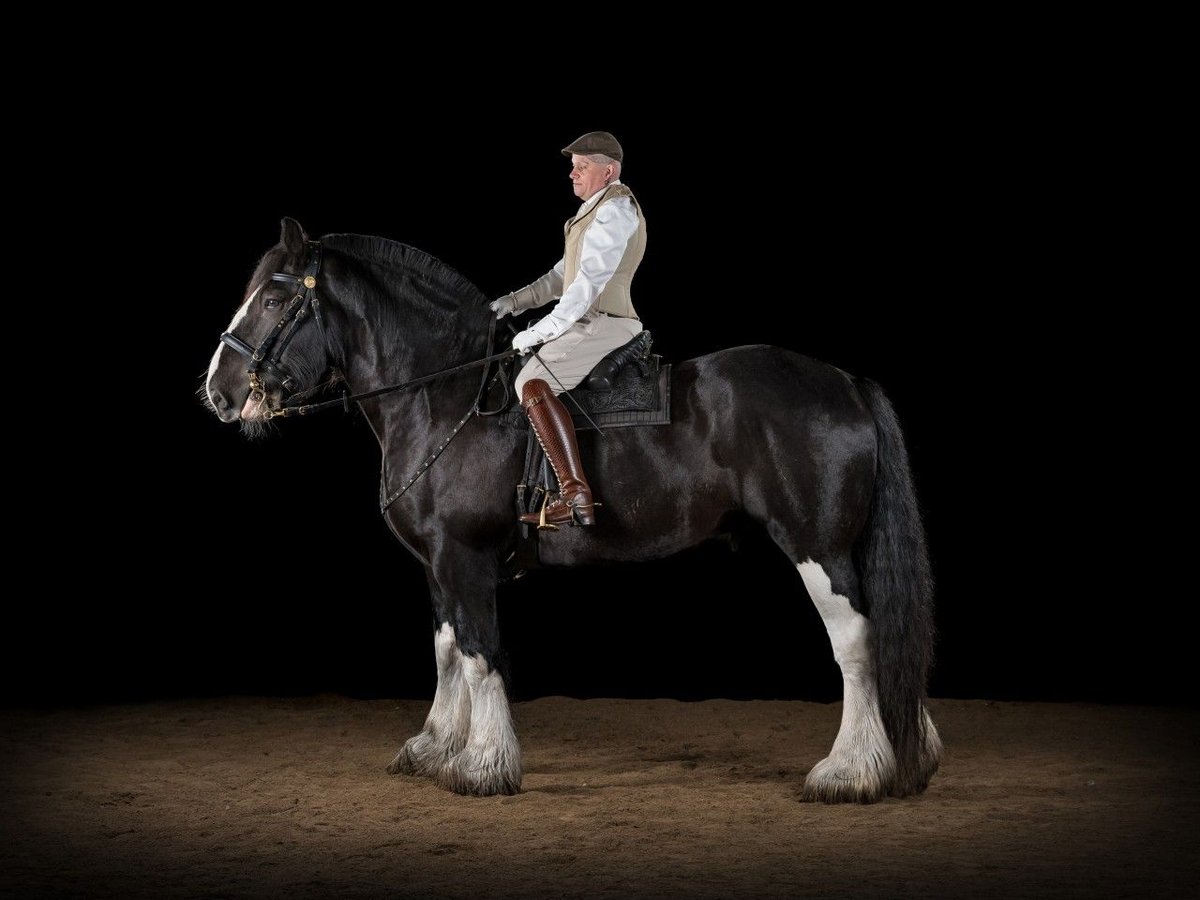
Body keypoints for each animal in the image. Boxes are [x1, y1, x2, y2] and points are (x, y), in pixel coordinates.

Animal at [201, 218, 940, 801]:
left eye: (275, 298)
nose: (219, 390)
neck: (445, 394)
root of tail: (845, 382)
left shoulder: (463, 556)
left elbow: (479, 652)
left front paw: (483, 765)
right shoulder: (438, 564)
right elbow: (446, 647)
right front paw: (435, 747)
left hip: (820, 549)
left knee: (857, 643)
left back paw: (849, 772)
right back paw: (907, 757)